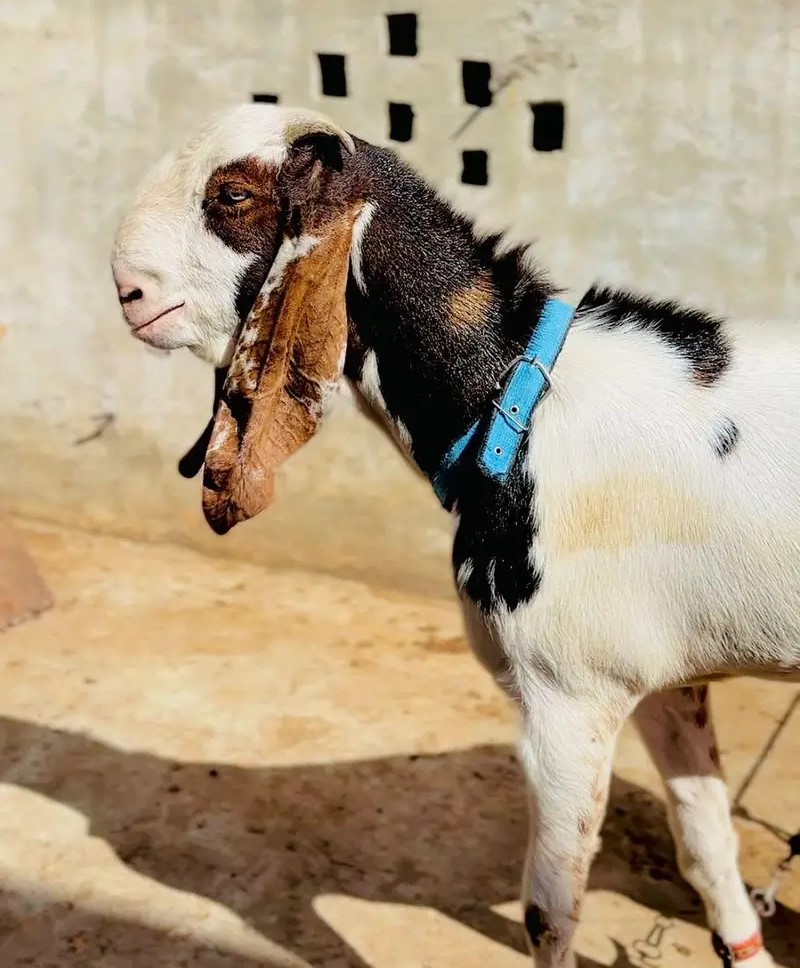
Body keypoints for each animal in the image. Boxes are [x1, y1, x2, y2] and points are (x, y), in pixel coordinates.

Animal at [111, 103, 799, 967]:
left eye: (232, 194)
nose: (128, 292)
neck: (514, 395)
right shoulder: (661, 678)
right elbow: (706, 838)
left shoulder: (565, 698)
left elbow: (550, 913)